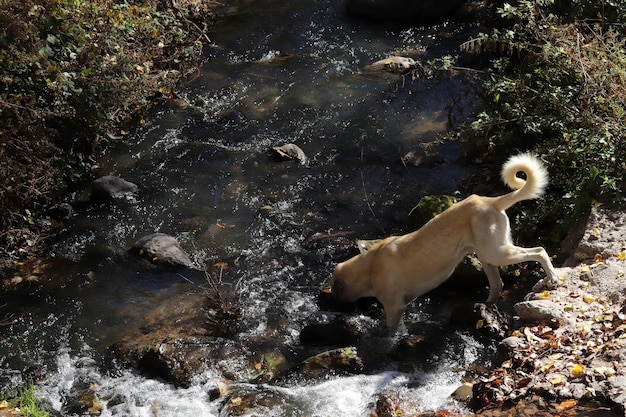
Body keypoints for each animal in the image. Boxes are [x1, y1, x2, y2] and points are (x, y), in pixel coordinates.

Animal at [330, 153, 560, 328]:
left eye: (335, 289)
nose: (330, 303)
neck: (370, 265)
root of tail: (490, 201)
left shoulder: (394, 306)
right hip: (487, 256)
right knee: (498, 284)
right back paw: (484, 306)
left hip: (496, 253)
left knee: (539, 250)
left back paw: (552, 278)